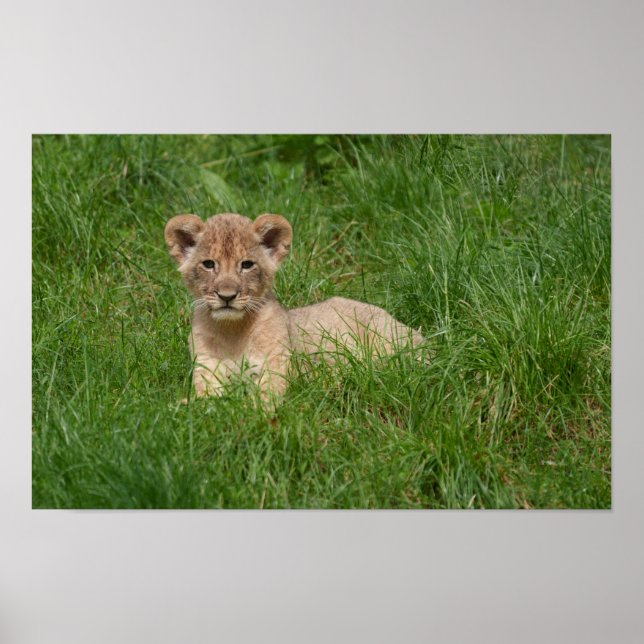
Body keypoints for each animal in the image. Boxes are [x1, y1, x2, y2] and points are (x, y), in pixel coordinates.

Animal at [165, 212, 423, 402]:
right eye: (208, 264)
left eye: (247, 265)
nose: (226, 296)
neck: (231, 331)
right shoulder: (206, 366)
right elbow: (206, 400)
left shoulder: (277, 364)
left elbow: (265, 397)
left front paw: (253, 411)